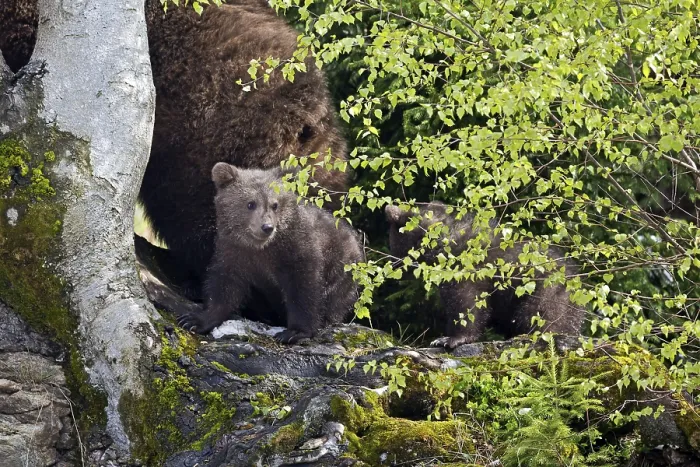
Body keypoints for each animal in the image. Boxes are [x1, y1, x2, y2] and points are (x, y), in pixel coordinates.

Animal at [177, 163, 364, 344]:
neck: (262, 247)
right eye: (250, 203)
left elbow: (304, 288)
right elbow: (224, 285)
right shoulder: (234, 251)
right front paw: (195, 320)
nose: (267, 227)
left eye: (275, 204)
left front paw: (295, 332)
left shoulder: (298, 250)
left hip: (342, 268)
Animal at [385, 202, 584, 349]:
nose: (392, 266)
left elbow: (466, 304)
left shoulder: (467, 272)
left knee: (542, 313)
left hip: (546, 289)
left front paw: (447, 339)